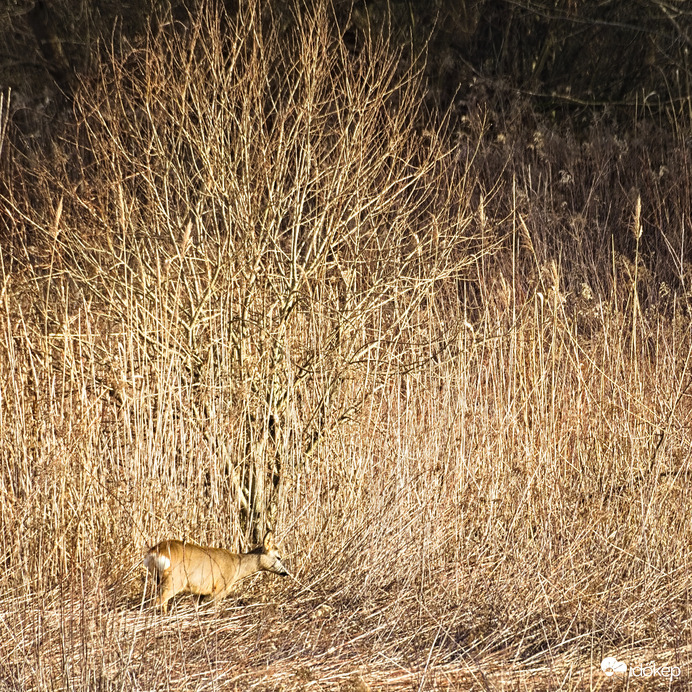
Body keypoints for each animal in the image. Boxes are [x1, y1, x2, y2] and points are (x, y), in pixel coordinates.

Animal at [145, 528, 288, 612]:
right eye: (278, 557)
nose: (285, 573)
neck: (237, 565)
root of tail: (155, 552)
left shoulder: (199, 592)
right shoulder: (220, 588)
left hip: (159, 578)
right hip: (174, 580)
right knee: (157, 601)